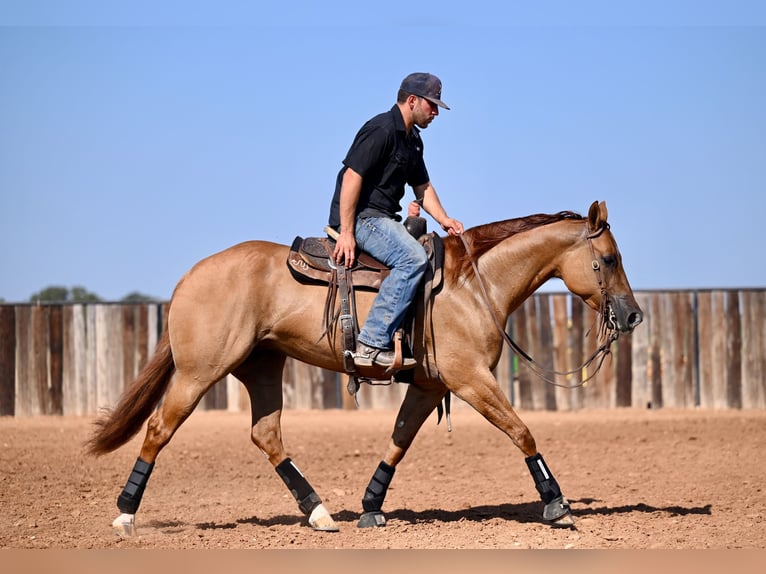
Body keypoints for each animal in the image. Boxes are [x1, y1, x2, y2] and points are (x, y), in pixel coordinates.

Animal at [87, 200, 644, 536]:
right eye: (610, 258)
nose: (633, 315)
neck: (472, 285)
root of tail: (189, 276)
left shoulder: (428, 386)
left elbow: (398, 441)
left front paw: (371, 505)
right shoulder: (471, 380)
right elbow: (522, 431)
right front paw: (557, 504)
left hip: (262, 367)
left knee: (266, 435)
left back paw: (319, 513)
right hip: (199, 373)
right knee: (159, 429)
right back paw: (124, 514)